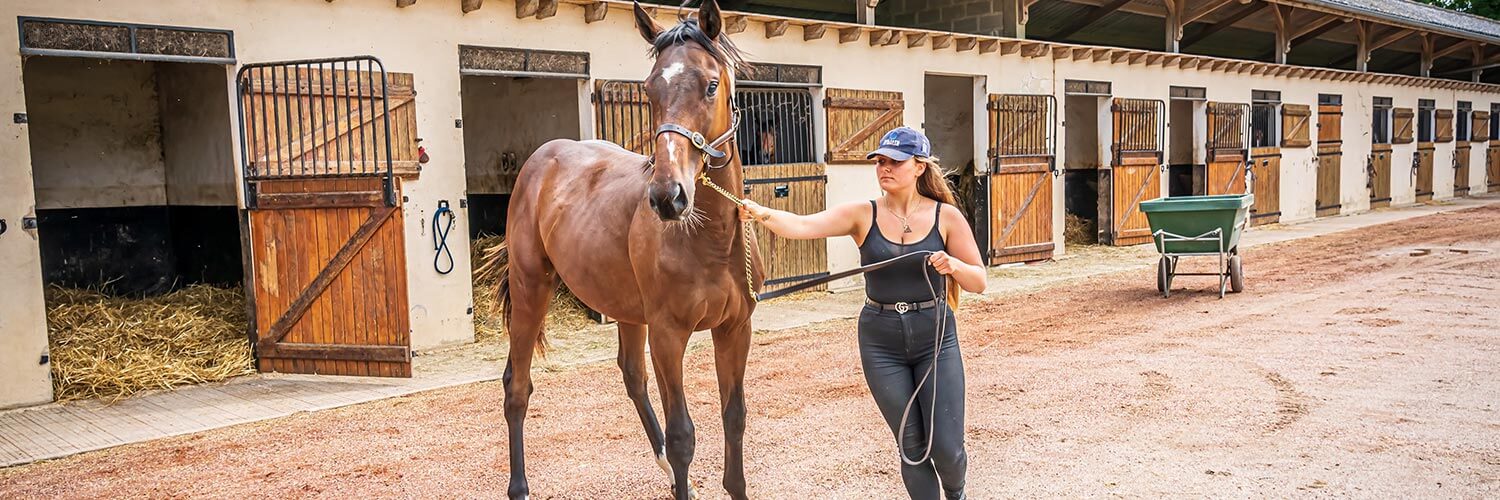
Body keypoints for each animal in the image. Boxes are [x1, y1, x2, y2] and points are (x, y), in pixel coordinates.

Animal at [490, 1, 761, 498]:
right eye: (650, 90)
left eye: (711, 85)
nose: (668, 197)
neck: (710, 239)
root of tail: (542, 158)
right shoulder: (668, 334)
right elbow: (683, 435)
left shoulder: (735, 328)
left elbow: (734, 417)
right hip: (530, 288)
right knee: (517, 387)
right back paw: (519, 487)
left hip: (627, 310)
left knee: (631, 375)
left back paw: (667, 472)